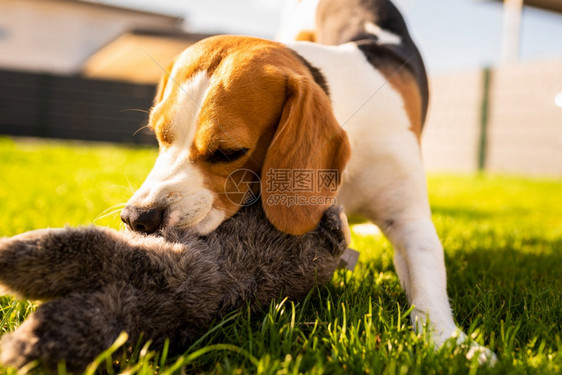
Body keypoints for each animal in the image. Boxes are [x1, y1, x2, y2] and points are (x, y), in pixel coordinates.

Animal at [123, 0, 494, 364]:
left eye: (229, 152)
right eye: (159, 136)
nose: (137, 217)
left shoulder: (409, 218)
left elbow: (426, 276)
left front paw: (451, 342)